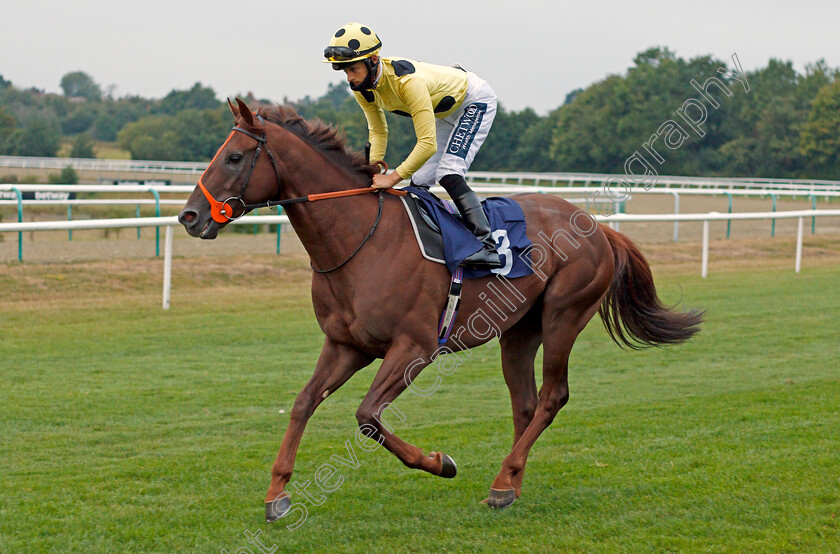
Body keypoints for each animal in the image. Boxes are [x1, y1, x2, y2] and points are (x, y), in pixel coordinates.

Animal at [179, 98, 704, 516]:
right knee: (526, 403)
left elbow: (368, 416)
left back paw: (503, 480)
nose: (189, 216)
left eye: (234, 156)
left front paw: (439, 463)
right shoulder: (346, 344)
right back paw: (508, 484)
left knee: (552, 397)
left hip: (564, 315)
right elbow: (304, 402)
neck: (359, 239)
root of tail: (599, 227)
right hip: (519, 331)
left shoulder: (414, 348)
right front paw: (277, 494)